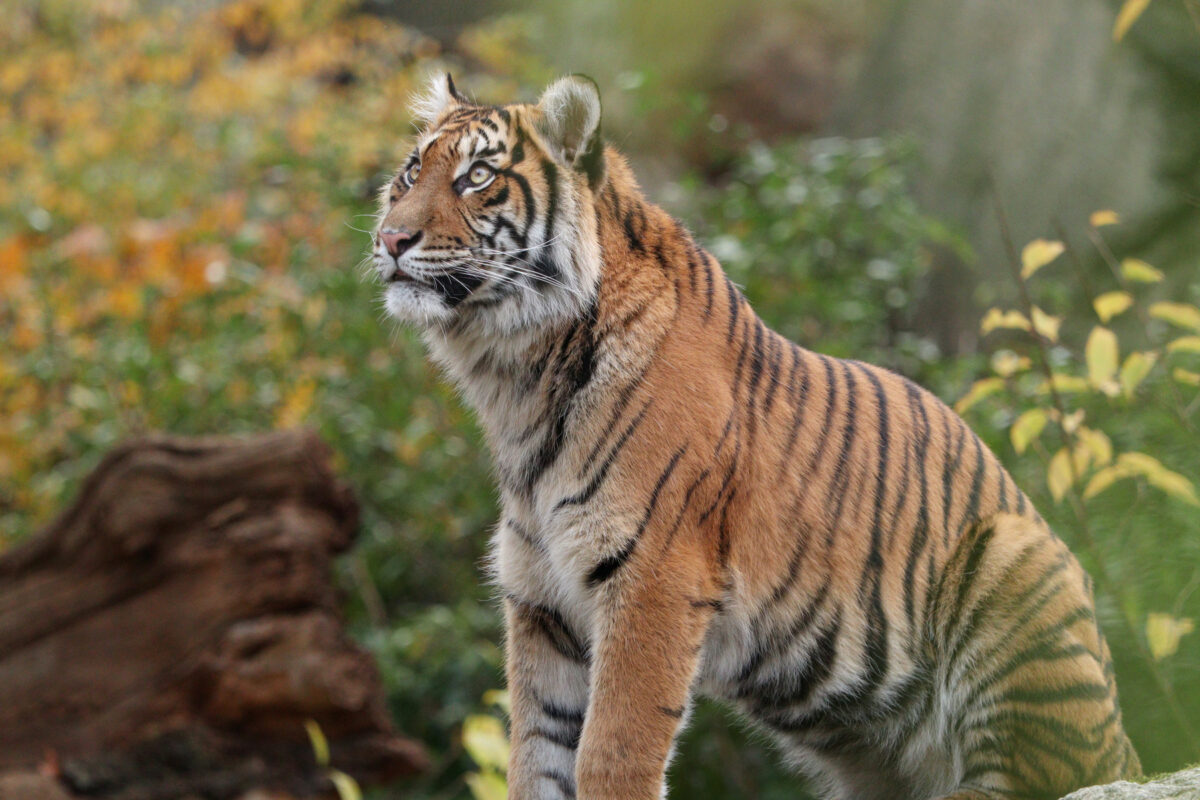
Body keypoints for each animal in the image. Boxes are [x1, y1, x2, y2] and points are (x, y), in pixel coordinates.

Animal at [369, 71, 1137, 796]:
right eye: (410, 172)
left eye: (478, 177)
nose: (390, 238)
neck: (517, 377)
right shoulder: (542, 602)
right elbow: (537, 759)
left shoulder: (651, 578)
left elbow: (612, 750)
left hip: (1015, 559)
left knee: (1043, 778)